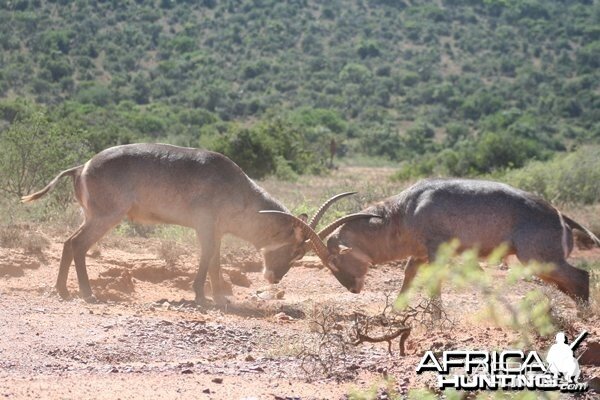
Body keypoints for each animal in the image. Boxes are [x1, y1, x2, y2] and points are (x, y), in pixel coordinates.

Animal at [22, 144, 366, 304]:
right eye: (297, 252)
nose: (274, 278)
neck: (236, 187)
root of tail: (82, 166)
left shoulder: (218, 231)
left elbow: (215, 263)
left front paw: (221, 297)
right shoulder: (205, 228)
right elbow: (205, 259)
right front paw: (201, 296)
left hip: (93, 216)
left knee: (68, 243)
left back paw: (62, 291)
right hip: (105, 217)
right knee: (78, 244)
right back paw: (87, 294)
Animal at [268, 178, 600, 304]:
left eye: (335, 260)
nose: (353, 288)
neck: (406, 210)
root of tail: (557, 213)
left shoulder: (437, 253)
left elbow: (435, 285)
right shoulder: (420, 255)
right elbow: (407, 277)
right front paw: (396, 310)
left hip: (539, 260)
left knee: (581, 277)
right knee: (571, 284)